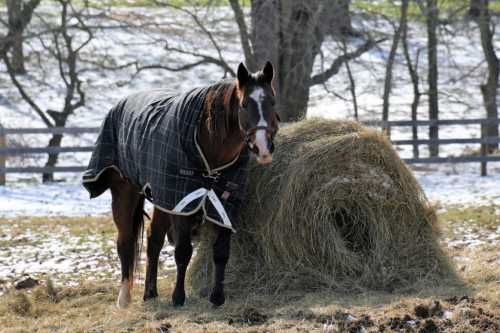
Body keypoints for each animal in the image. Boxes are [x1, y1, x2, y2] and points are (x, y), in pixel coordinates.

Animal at [80, 61, 280, 306]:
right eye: (244, 104)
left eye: (272, 101)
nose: (263, 148)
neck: (207, 144)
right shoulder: (182, 204)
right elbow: (183, 251)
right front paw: (178, 297)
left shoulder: (224, 205)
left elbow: (221, 252)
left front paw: (217, 297)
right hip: (126, 193)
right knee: (125, 241)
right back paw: (124, 298)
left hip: (162, 200)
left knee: (153, 240)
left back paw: (150, 292)